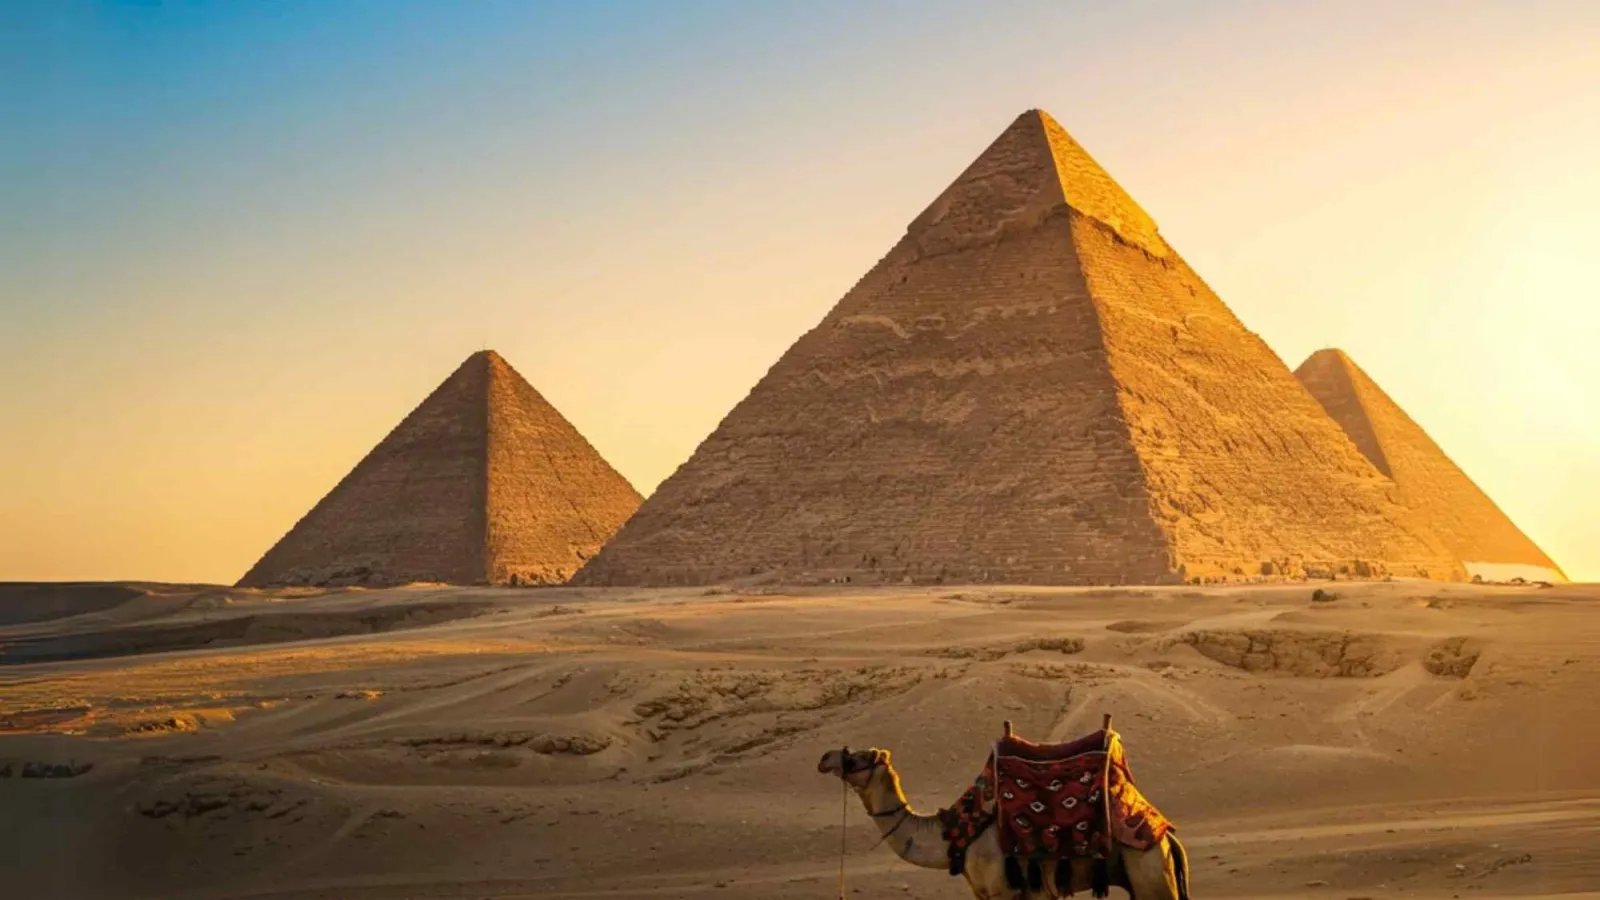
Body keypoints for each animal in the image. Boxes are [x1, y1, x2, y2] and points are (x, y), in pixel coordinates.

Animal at [818, 746, 1191, 900]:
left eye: (859, 758)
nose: (824, 759)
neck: (956, 836)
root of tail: (1166, 836)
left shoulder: (1001, 889)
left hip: (1149, 870)